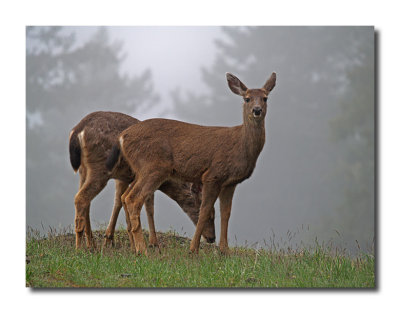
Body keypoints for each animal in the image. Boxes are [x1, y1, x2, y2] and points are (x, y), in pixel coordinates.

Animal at [68, 111, 216, 250]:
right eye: (210, 215)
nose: (212, 238)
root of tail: (77, 130)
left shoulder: (126, 178)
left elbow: (120, 201)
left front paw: (114, 239)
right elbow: (148, 207)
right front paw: (152, 243)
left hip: (83, 170)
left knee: (85, 200)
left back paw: (91, 244)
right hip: (100, 168)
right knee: (81, 198)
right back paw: (80, 247)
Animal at [104, 72, 276, 254]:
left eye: (265, 98)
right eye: (247, 98)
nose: (257, 110)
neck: (240, 145)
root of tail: (122, 137)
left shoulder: (230, 182)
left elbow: (226, 213)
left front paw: (224, 251)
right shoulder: (212, 174)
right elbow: (204, 210)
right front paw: (194, 249)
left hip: (141, 169)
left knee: (125, 196)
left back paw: (137, 247)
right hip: (153, 167)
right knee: (133, 198)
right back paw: (142, 250)